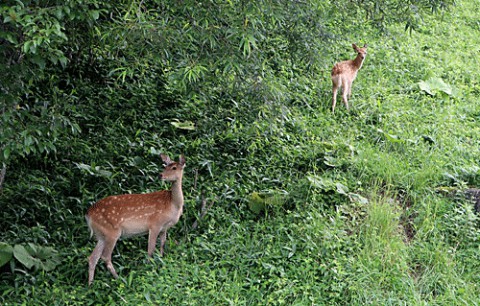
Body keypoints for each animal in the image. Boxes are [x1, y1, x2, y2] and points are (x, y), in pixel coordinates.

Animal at [85, 154, 185, 286]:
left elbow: (162, 245)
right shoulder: (155, 224)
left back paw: (90, 285)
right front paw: (149, 270)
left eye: (174, 167)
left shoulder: (164, 228)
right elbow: (150, 249)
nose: (160, 175)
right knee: (105, 256)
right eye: (165, 166)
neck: (173, 204)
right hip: (112, 231)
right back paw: (119, 279)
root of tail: (88, 215)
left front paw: (161, 262)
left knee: (92, 258)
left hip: (101, 234)